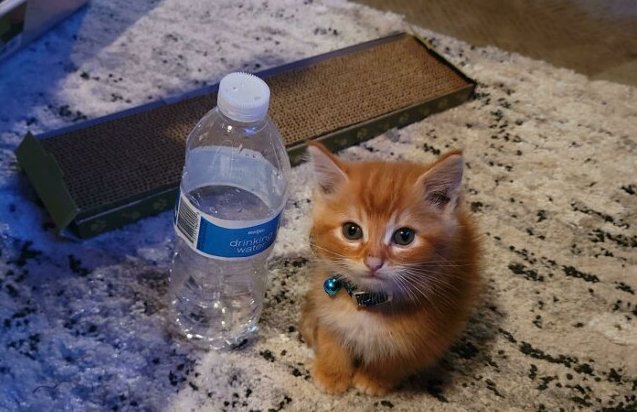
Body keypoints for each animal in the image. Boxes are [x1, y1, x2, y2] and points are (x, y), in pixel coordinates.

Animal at [299, 142, 481, 396]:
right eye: (351, 231)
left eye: (404, 236)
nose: (373, 262)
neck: (368, 303)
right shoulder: (326, 307)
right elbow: (331, 336)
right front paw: (332, 372)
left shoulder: (428, 337)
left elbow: (396, 358)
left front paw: (373, 378)